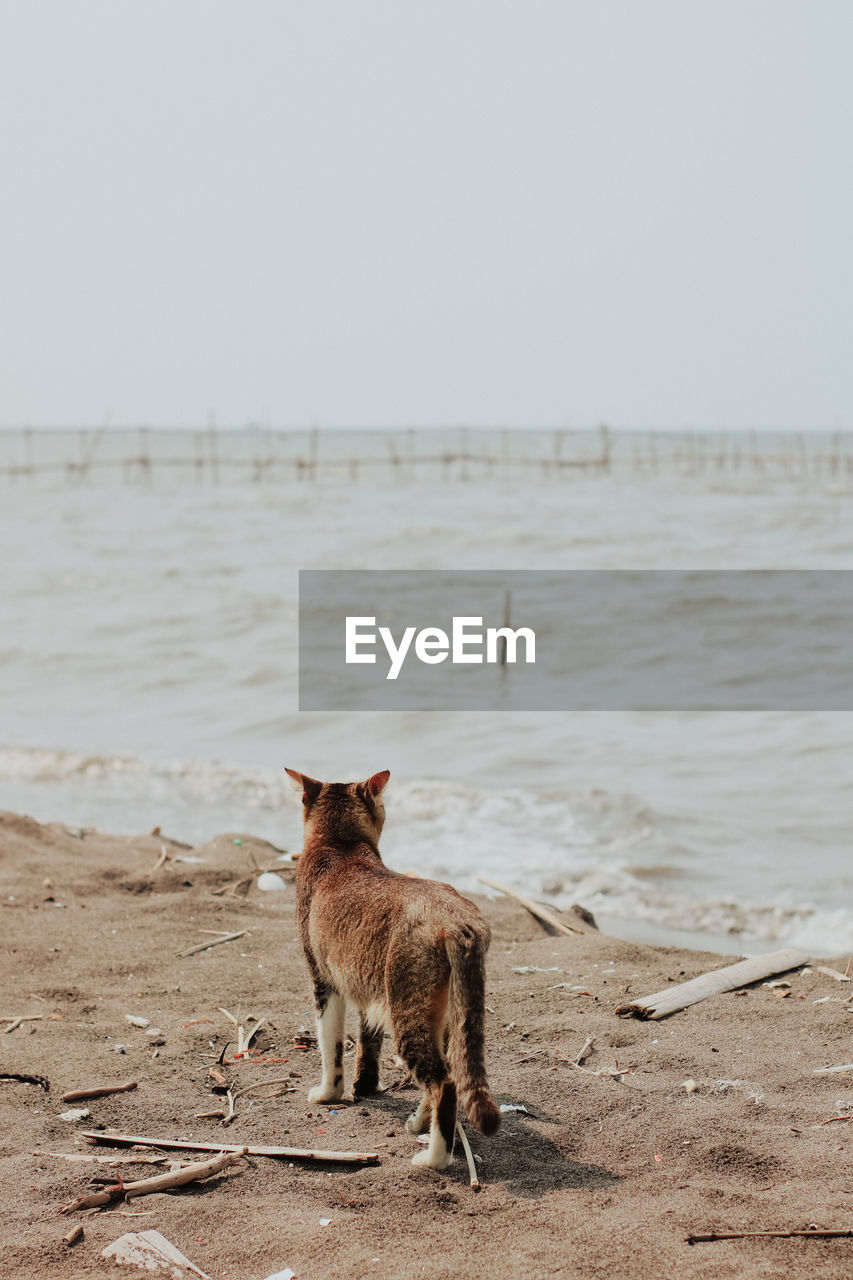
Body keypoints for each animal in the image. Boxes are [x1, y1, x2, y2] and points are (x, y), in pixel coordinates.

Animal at [285, 762, 499, 1172]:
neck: (341, 846)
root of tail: (458, 919)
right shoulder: (368, 986)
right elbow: (367, 1042)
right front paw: (365, 1087)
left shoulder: (325, 979)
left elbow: (330, 1045)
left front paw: (328, 1093)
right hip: (443, 1010)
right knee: (444, 1072)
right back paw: (419, 1124)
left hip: (406, 1004)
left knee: (445, 1084)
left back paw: (433, 1158)